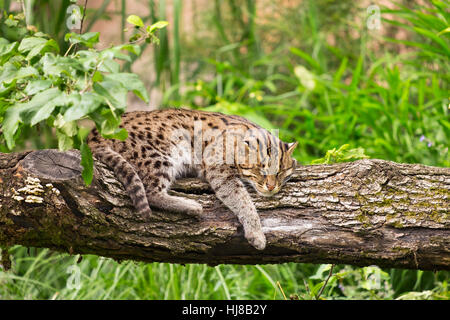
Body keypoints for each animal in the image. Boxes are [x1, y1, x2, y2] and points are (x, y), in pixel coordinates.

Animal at [88, 108, 298, 250]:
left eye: (280, 172)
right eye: (260, 170)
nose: (271, 187)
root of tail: (92, 137)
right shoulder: (217, 166)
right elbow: (242, 199)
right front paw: (256, 233)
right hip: (161, 153)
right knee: (151, 192)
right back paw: (191, 206)